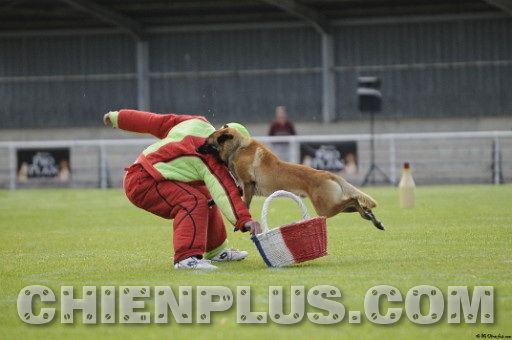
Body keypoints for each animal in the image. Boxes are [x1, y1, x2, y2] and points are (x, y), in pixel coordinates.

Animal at [198, 126, 382, 230]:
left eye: (208, 142)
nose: (197, 148)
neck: (238, 148)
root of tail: (327, 173)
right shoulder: (243, 186)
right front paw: (209, 202)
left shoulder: (248, 185)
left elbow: (244, 203)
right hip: (331, 205)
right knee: (357, 205)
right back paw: (372, 217)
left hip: (325, 208)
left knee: (353, 200)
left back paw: (368, 216)